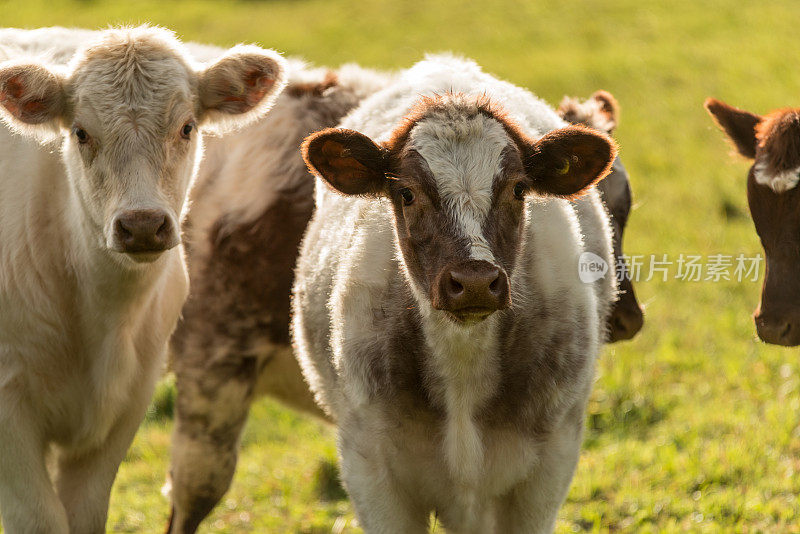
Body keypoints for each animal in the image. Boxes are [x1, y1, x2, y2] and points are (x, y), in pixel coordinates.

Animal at [0, 26, 286, 534]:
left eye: (187, 127)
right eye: (81, 132)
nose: (142, 225)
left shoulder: (129, 403)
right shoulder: (8, 409)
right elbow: (39, 519)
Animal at [294, 55, 620, 534]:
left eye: (518, 189)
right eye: (406, 193)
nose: (475, 280)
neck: (463, 361)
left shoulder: (551, 462)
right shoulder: (369, 466)